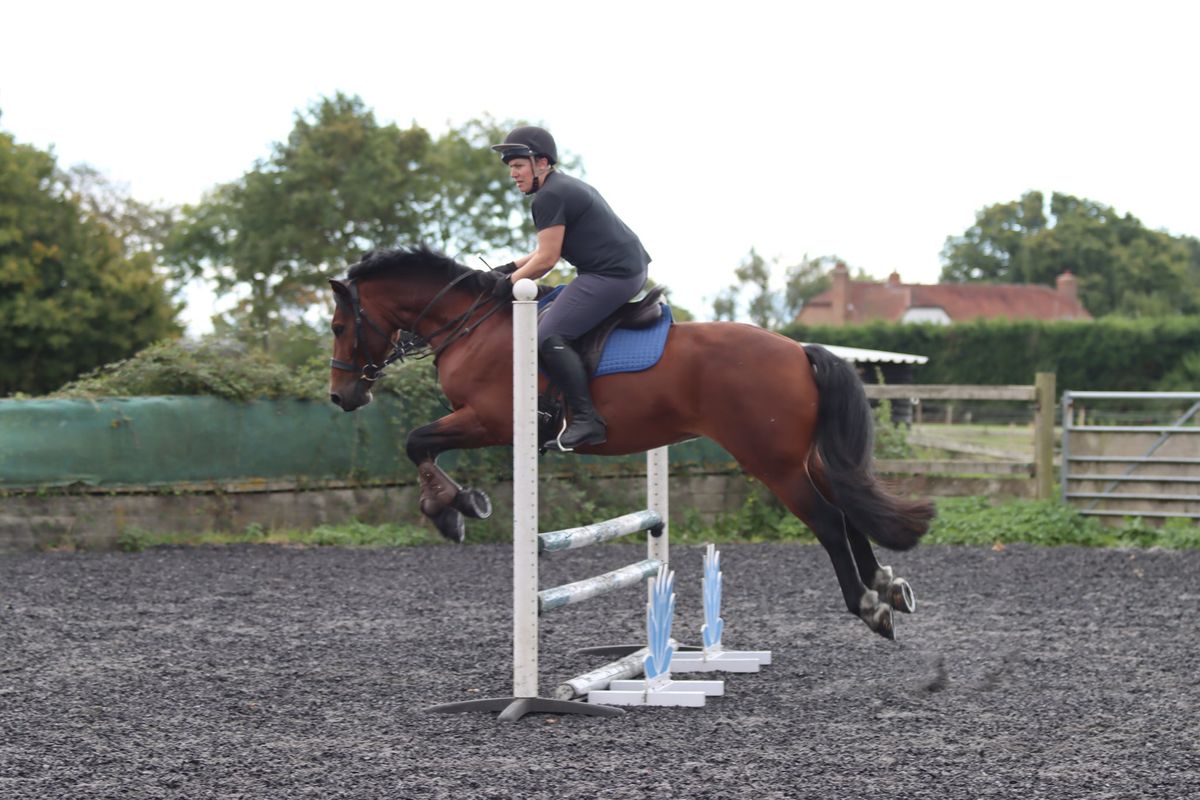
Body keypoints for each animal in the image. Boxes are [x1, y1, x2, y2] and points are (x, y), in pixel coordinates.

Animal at [328, 247, 936, 642]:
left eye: (337, 326)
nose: (342, 396)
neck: (472, 325)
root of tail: (798, 350)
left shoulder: (489, 420)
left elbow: (417, 441)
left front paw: (451, 509)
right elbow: (421, 445)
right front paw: (457, 505)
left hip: (774, 463)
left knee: (829, 521)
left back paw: (868, 607)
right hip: (806, 458)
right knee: (849, 510)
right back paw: (888, 585)